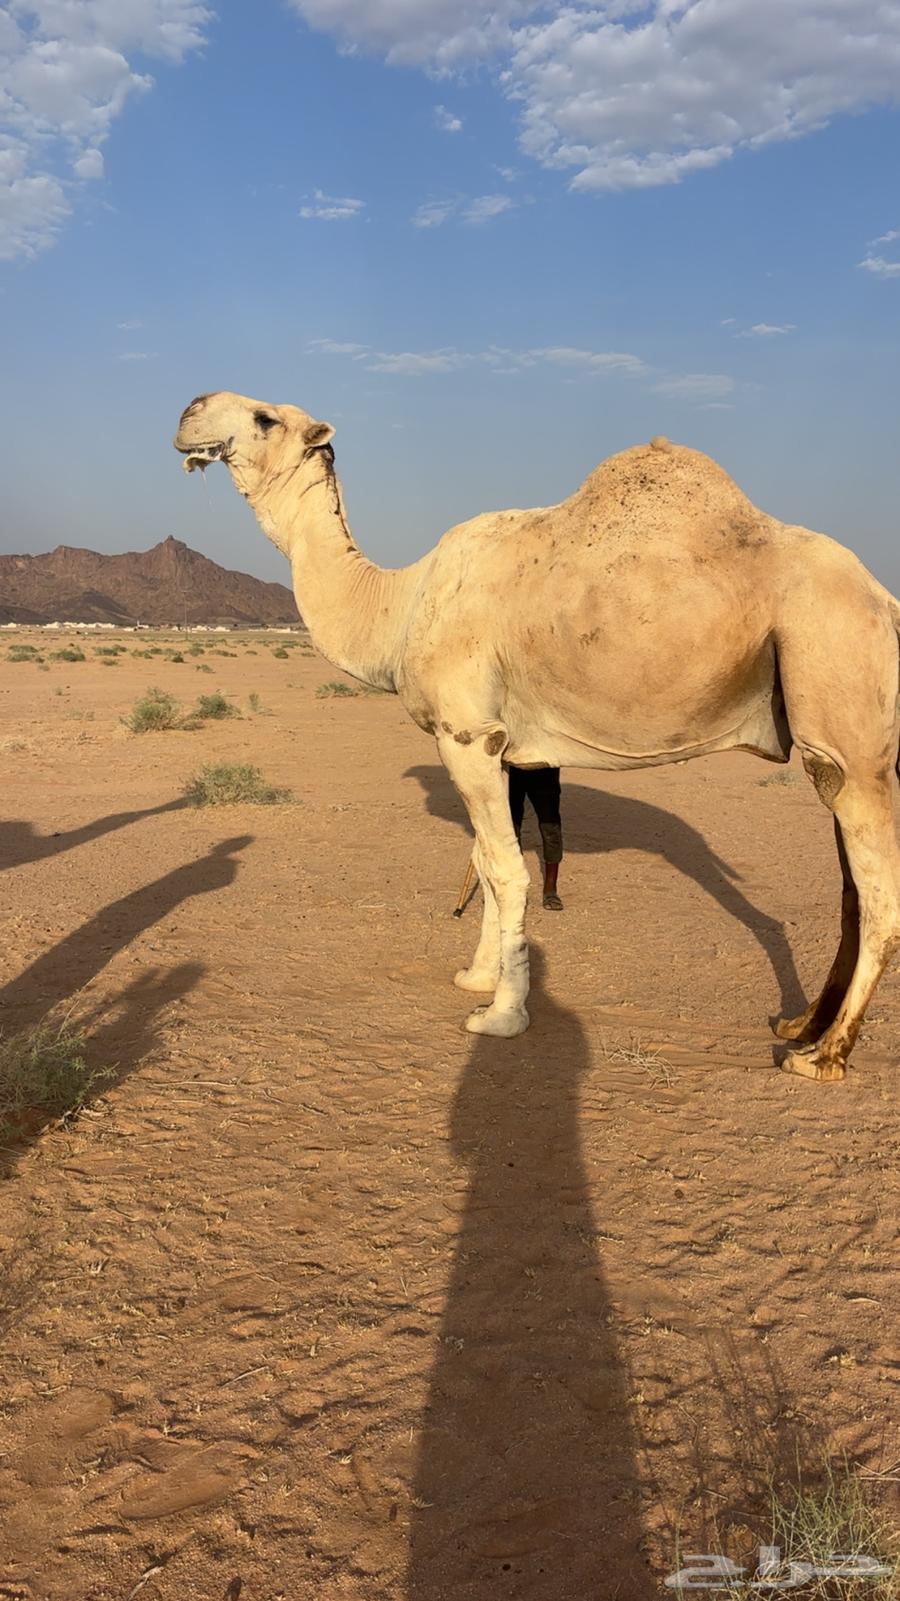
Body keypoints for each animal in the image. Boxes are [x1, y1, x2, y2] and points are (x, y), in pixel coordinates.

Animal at [174, 391, 900, 1081]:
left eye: (265, 417)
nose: (189, 410)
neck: (399, 605)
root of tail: (884, 600)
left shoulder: (465, 733)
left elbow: (505, 870)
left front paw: (502, 1013)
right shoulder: (500, 744)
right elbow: (488, 862)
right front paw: (479, 976)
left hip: (841, 686)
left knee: (879, 890)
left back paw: (824, 1056)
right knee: (851, 892)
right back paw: (800, 1024)